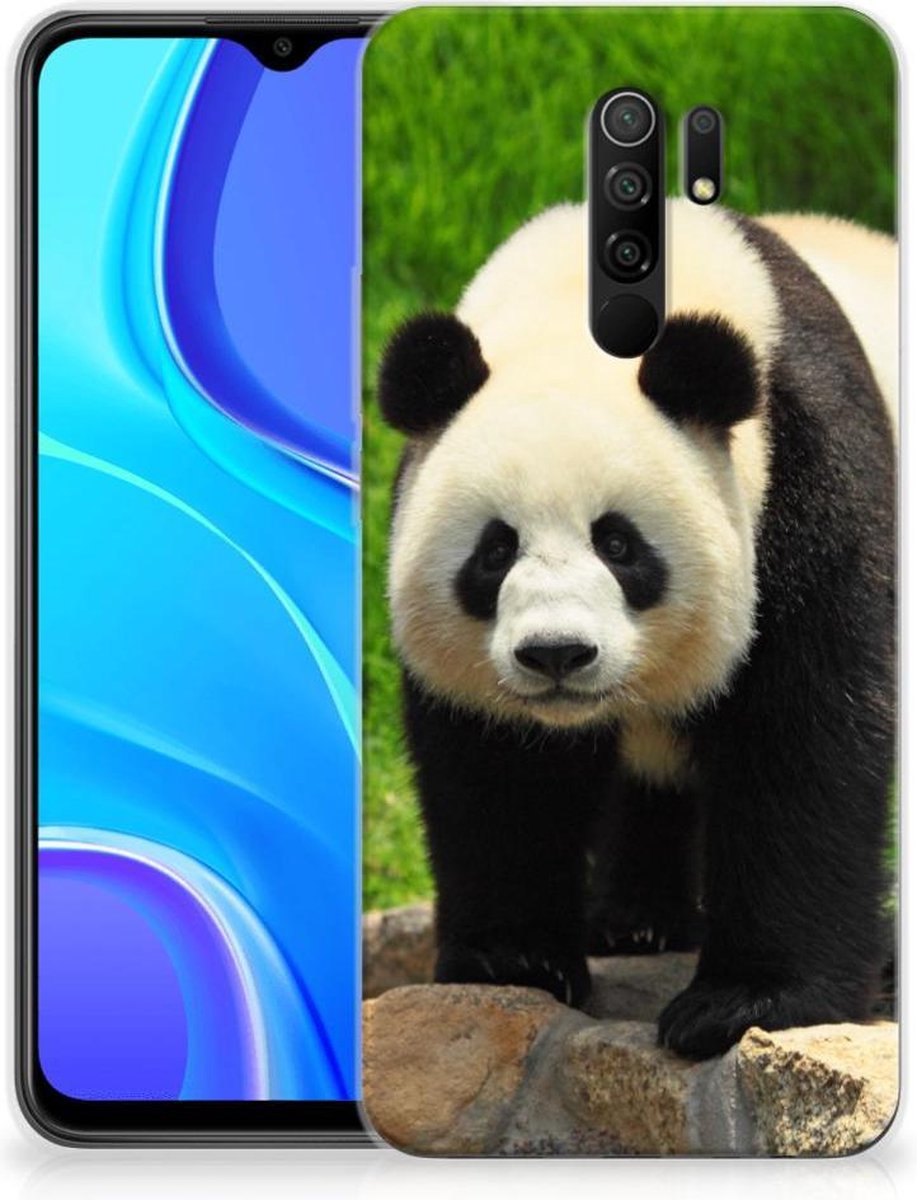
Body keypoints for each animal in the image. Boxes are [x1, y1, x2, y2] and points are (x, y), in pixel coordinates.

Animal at [375, 199, 896, 1060]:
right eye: (494, 550)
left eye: (618, 544)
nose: (556, 654)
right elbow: (497, 767)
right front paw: (513, 959)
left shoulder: (809, 477)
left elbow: (804, 735)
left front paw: (745, 1002)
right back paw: (636, 921)